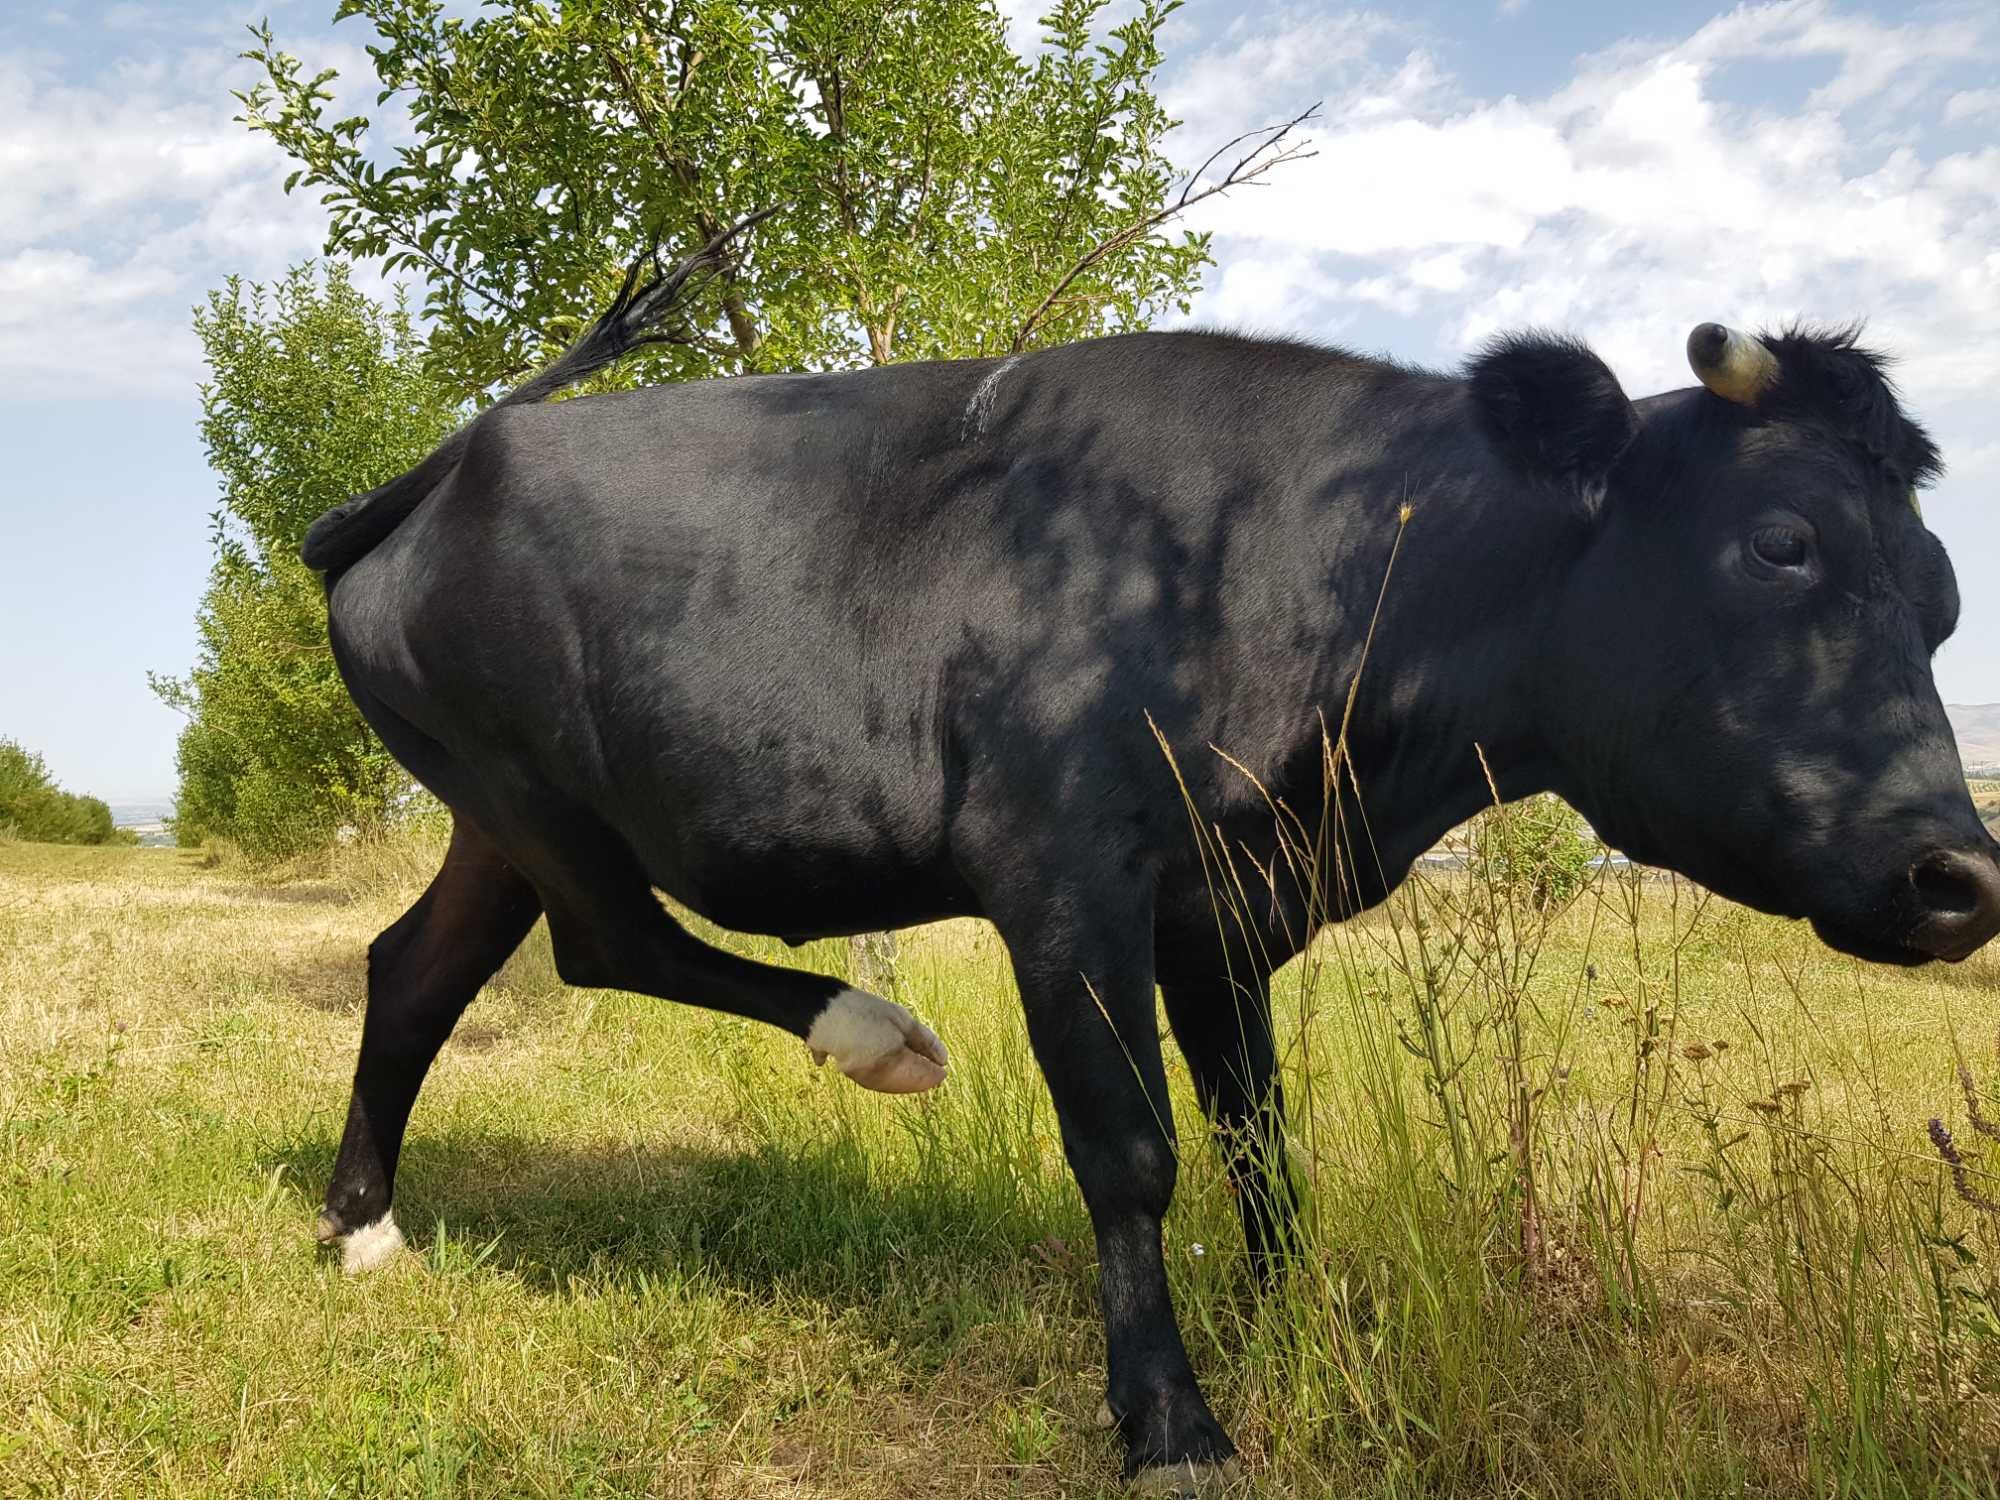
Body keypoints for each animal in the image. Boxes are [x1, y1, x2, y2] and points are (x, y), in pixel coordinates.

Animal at [300, 229, 2000, 1496]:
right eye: (1779, 544)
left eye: (1943, 598)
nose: (1961, 879)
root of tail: (448, 465)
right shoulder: (1065, 872)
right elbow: (1132, 1151)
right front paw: (1172, 1423)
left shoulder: (1223, 908)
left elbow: (1259, 1136)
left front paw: (1294, 1320)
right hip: (524, 787)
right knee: (611, 945)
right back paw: (874, 1036)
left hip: (491, 816)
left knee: (415, 972)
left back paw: (362, 1225)